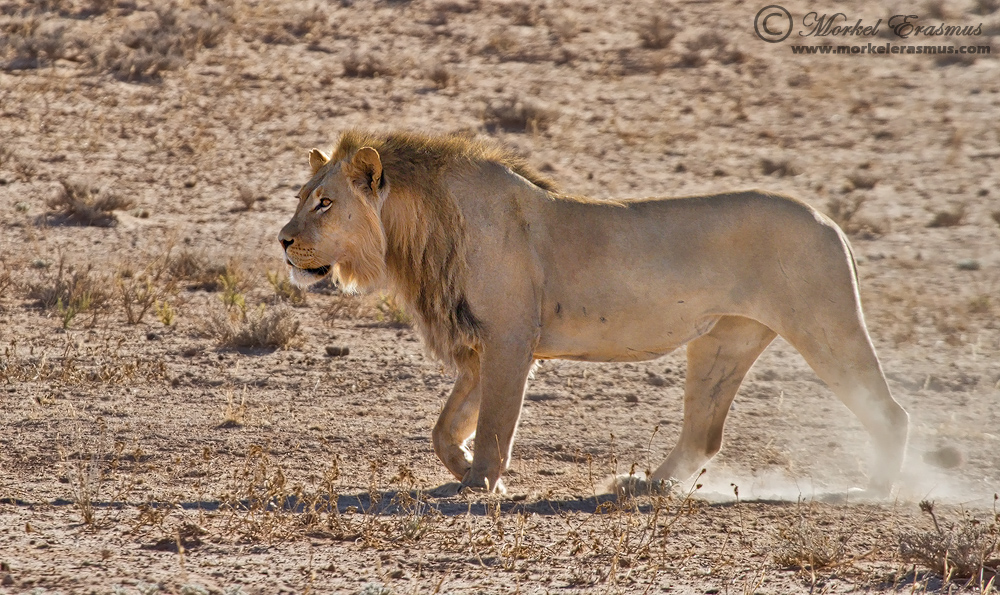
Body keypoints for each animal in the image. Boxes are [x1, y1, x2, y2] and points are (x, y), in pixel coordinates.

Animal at [278, 130, 909, 496]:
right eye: (300, 198)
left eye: (325, 203)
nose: (283, 241)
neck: (416, 234)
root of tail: (830, 222)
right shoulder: (482, 347)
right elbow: (445, 428)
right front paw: (463, 468)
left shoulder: (511, 338)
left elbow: (495, 422)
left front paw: (480, 485)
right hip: (723, 342)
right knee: (703, 436)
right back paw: (641, 486)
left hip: (824, 324)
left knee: (891, 412)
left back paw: (879, 489)